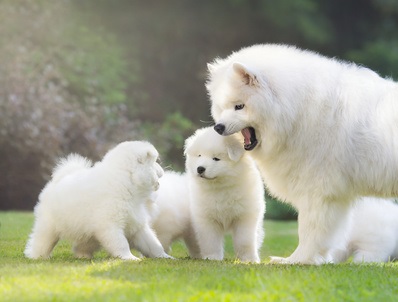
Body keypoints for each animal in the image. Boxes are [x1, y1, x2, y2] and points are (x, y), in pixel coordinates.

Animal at [24, 140, 171, 260]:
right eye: (156, 162)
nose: (163, 170)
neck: (127, 181)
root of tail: (58, 180)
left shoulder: (137, 224)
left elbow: (153, 244)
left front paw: (165, 257)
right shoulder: (110, 226)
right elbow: (121, 243)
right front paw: (129, 258)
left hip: (90, 234)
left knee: (80, 246)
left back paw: (83, 256)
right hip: (49, 226)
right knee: (41, 241)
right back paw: (37, 256)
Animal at [185, 126, 266, 264]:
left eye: (216, 158)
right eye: (199, 155)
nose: (200, 168)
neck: (220, 187)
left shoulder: (245, 217)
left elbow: (244, 241)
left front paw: (248, 259)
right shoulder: (207, 219)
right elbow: (210, 241)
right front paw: (212, 257)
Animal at [207, 43, 398, 264]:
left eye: (239, 106)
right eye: (222, 107)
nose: (218, 127)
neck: (297, 111)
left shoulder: (318, 191)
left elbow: (309, 231)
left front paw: (296, 260)